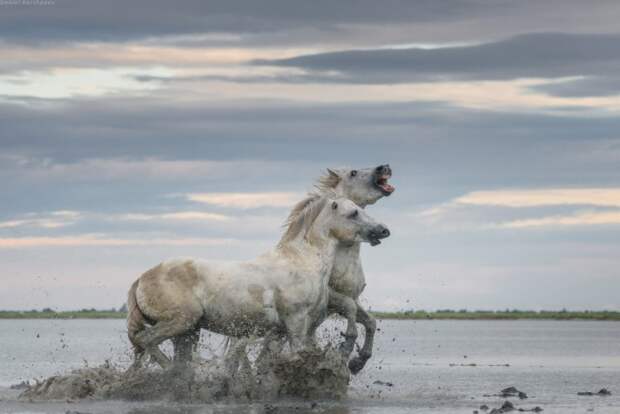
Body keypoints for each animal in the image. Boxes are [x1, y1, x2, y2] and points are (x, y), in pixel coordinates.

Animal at [125, 196, 388, 370]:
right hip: (181, 321)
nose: (384, 230)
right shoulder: (296, 322)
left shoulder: (295, 327)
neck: (302, 261)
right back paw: (169, 371)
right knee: (145, 341)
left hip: (188, 332)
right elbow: (298, 355)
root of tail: (141, 279)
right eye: (353, 213)